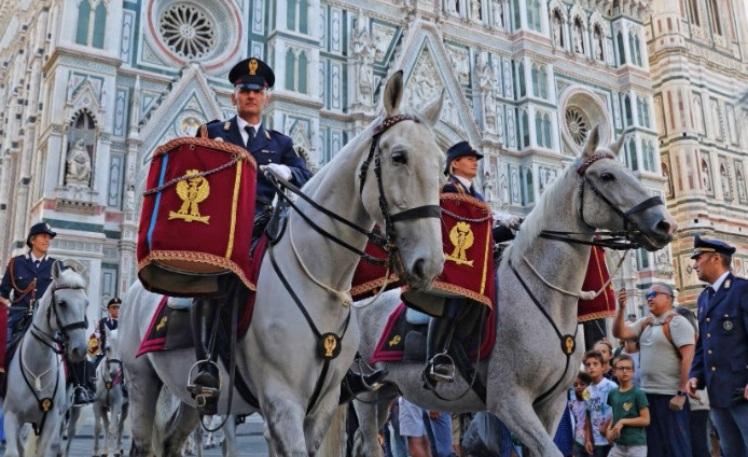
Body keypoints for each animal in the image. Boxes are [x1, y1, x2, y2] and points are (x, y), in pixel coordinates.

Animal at [2, 262, 89, 456]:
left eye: (86, 303)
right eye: (62, 303)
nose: (79, 349)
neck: (37, 370)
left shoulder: (52, 419)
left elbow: (47, 449)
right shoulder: (11, 415)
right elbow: (13, 451)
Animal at [120, 69, 448, 454]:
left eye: (442, 166)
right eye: (399, 156)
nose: (431, 263)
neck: (321, 278)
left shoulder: (323, 403)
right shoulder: (282, 400)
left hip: (192, 397)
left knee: (172, 440)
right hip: (140, 382)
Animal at [350, 126, 676, 456]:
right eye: (607, 176)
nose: (665, 224)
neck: (545, 298)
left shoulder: (551, 402)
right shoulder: (509, 400)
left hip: (387, 391)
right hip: (365, 392)